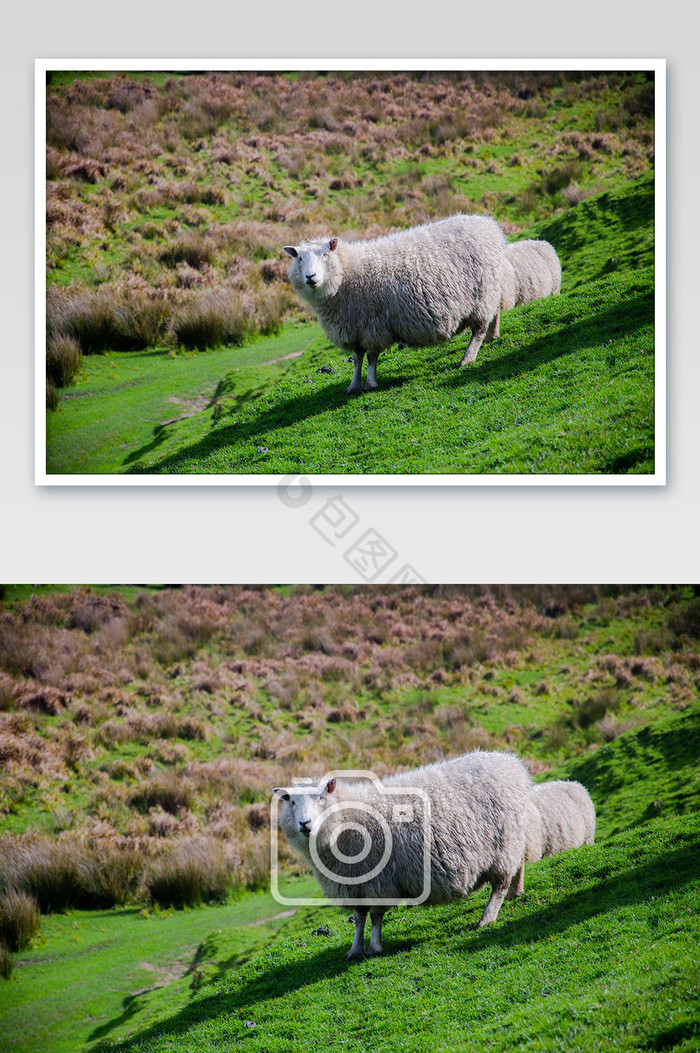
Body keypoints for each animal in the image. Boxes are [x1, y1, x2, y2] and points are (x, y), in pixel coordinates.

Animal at [273, 749, 530, 964]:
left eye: (321, 798)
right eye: (292, 802)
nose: (304, 823)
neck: (347, 817)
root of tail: (512, 763)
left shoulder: (378, 881)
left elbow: (375, 917)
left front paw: (374, 947)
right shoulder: (356, 884)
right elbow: (359, 918)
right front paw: (354, 950)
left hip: (503, 844)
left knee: (500, 884)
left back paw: (488, 917)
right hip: (513, 840)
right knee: (519, 865)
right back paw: (516, 892)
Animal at [282, 213, 505, 395]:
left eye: (325, 255)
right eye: (300, 258)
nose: (311, 277)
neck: (346, 273)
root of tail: (489, 225)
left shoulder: (373, 326)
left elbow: (371, 357)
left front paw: (370, 384)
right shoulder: (355, 328)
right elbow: (357, 358)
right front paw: (353, 386)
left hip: (482, 294)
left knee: (478, 329)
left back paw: (468, 358)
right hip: (490, 290)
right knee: (495, 312)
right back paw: (492, 336)